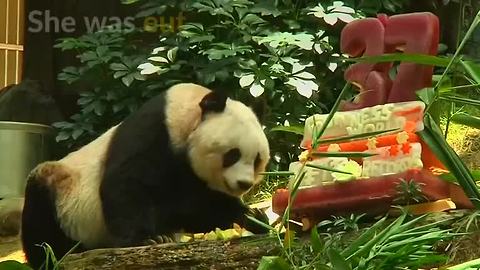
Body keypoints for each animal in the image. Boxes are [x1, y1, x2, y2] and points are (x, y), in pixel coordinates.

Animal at [20, 83, 272, 268]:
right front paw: (149, 239)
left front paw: (253, 216)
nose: (244, 183)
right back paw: (55, 256)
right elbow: (127, 185)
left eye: (257, 159)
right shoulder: (153, 133)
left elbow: (199, 208)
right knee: (41, 221)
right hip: (65, 196)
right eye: (232, 154)